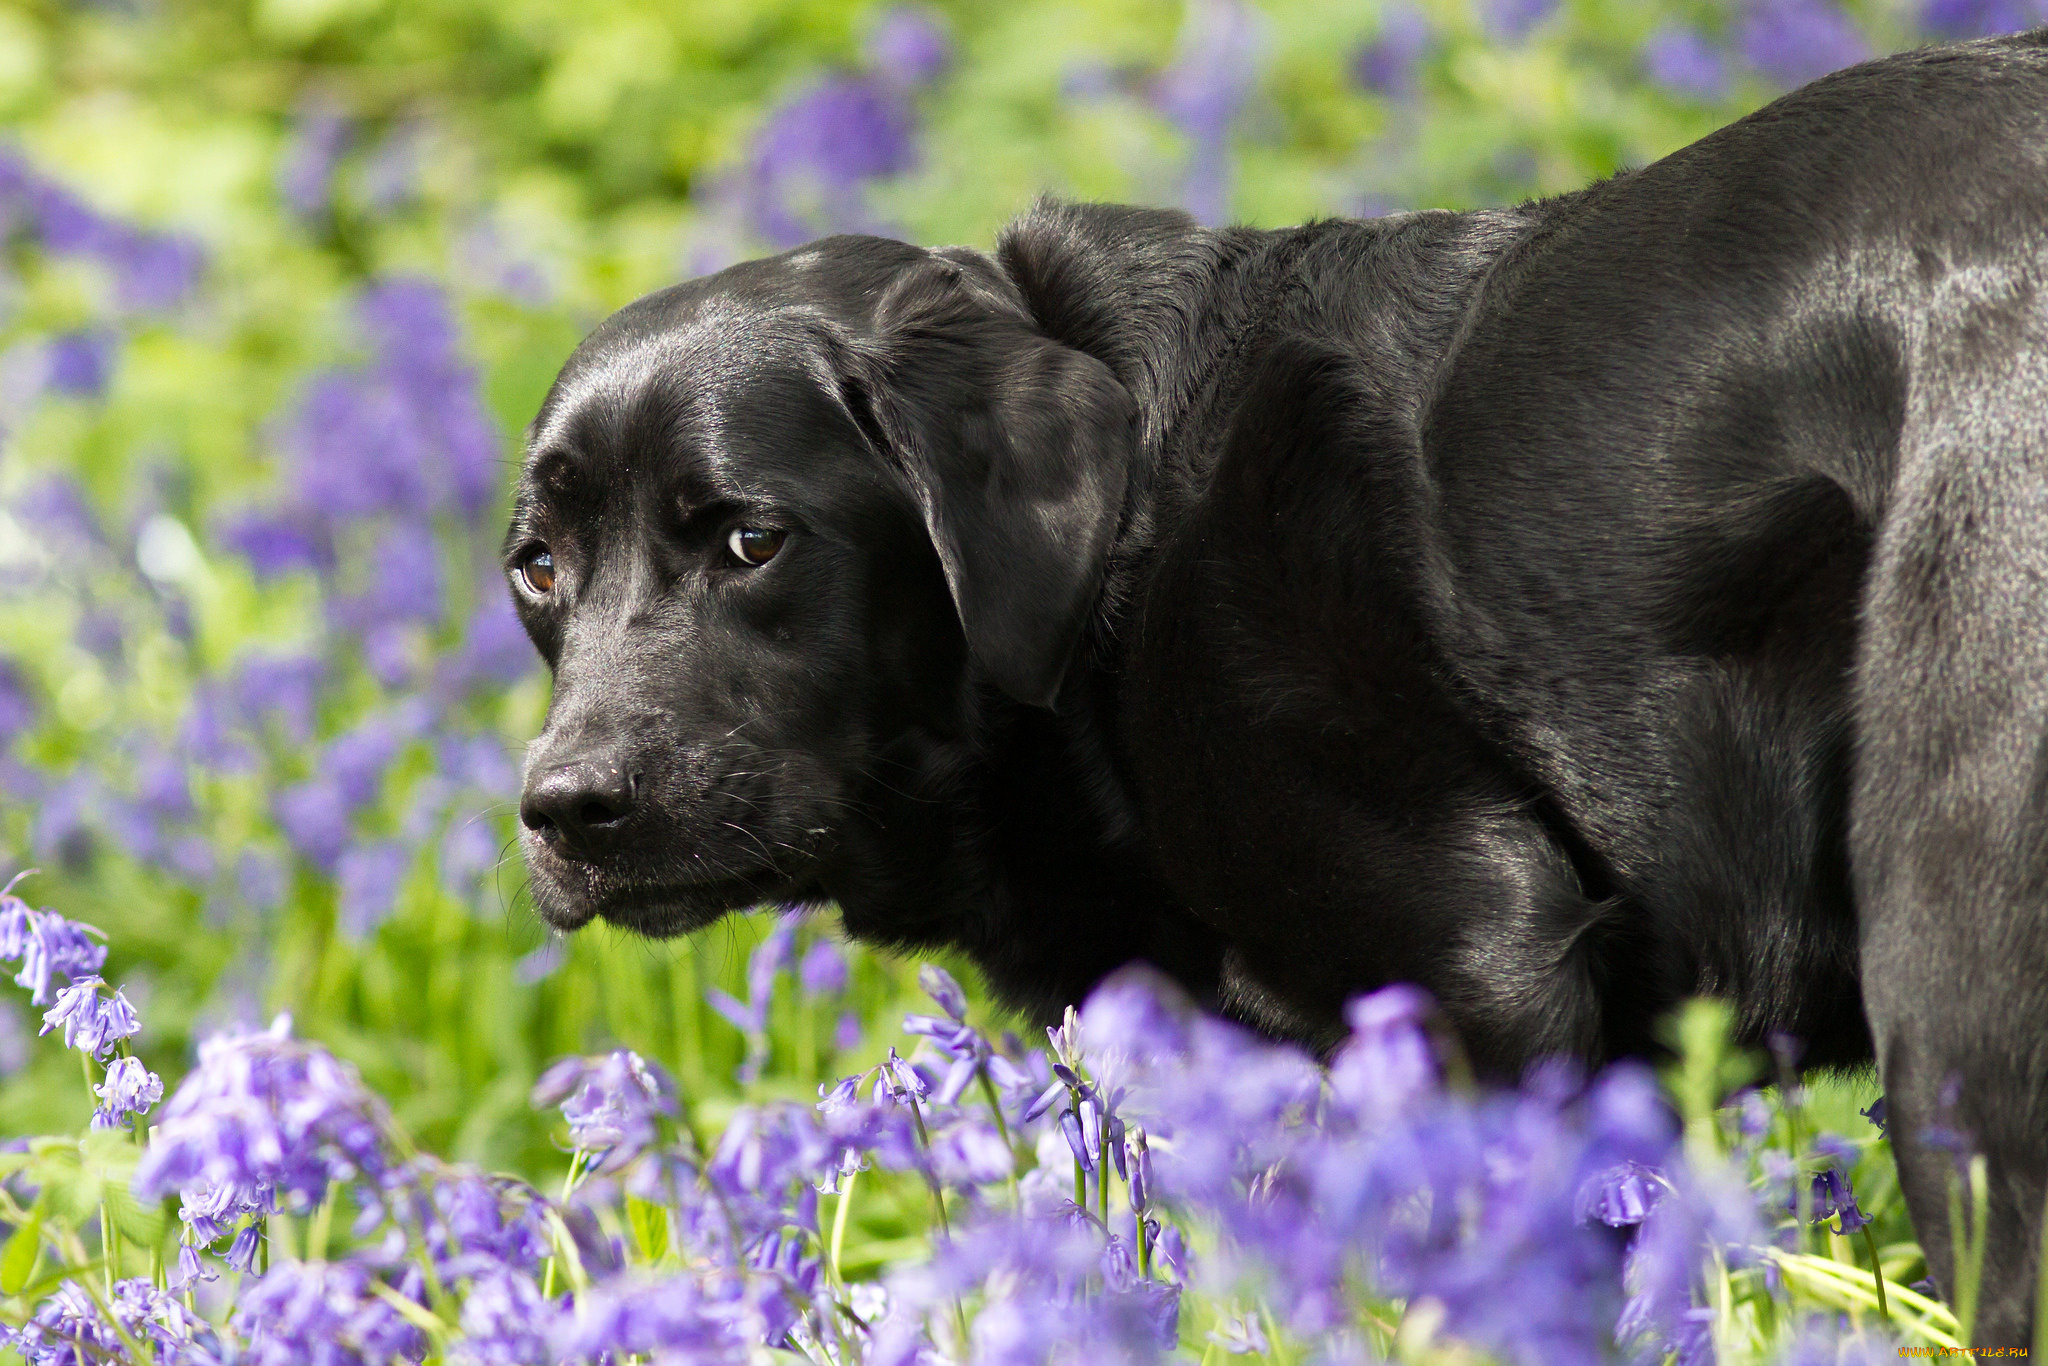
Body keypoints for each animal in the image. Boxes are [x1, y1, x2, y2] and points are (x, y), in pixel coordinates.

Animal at [507, 31, 2048, 1343]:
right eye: (536, 568)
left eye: (749, 539)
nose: (566, 809)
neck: (1121, 558)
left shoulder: (1483, 969)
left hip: (1950, 981)